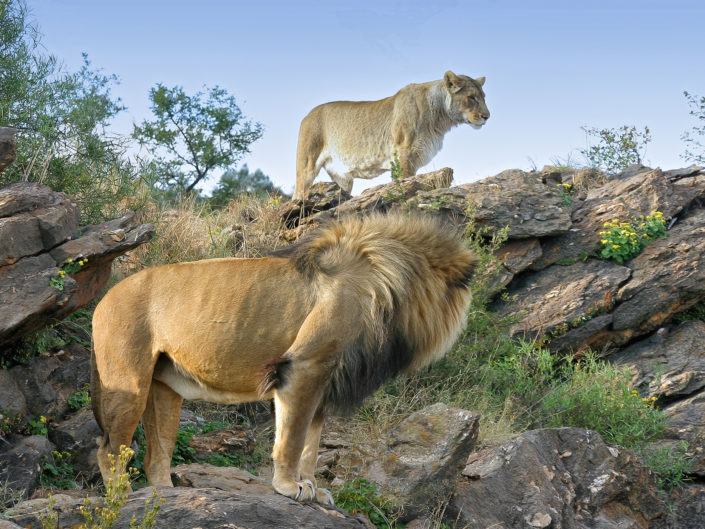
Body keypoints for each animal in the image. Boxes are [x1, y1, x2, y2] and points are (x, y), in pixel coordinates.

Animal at [90, 212, 477, 504]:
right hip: (128, 382)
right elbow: (292, 438)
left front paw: (315, 489)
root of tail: (105, 296)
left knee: (156, 453)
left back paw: (167, 494)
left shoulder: (326, 378)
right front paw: (290, 487)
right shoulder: (305, 366)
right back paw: (121, 497)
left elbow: (311, 443)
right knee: (109, 447)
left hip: (165, 388)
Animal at [293, 71, 490, 200]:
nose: (487, 116)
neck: (440, 118)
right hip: (306, 167)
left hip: (343, 179)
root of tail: (307, 115)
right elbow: (405, 183)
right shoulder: (404, 154)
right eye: (472, 97)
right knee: (298, 194)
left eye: (483, 97)